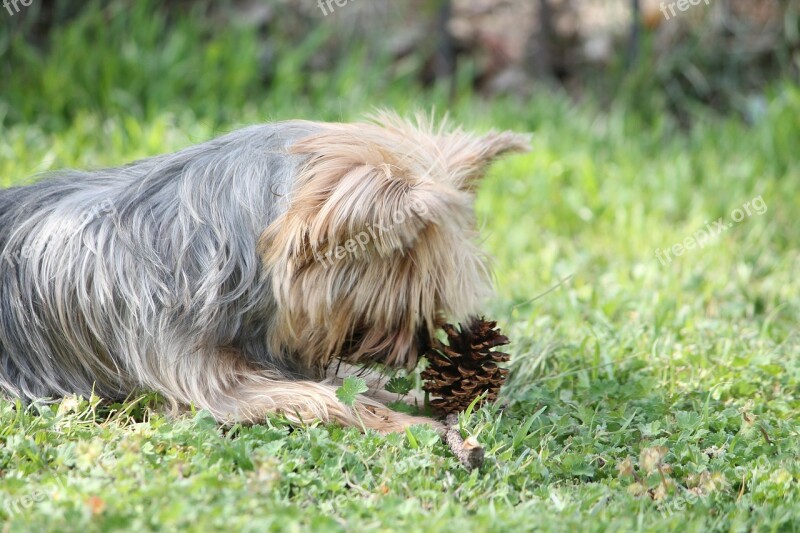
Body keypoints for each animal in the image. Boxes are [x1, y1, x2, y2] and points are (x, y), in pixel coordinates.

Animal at [0, 112, 528, 432]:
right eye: (407, 298)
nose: (418, 348)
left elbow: (347, 380)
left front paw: (438, 400)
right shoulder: (208, 379)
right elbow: (326, 397)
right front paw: (415, 425)